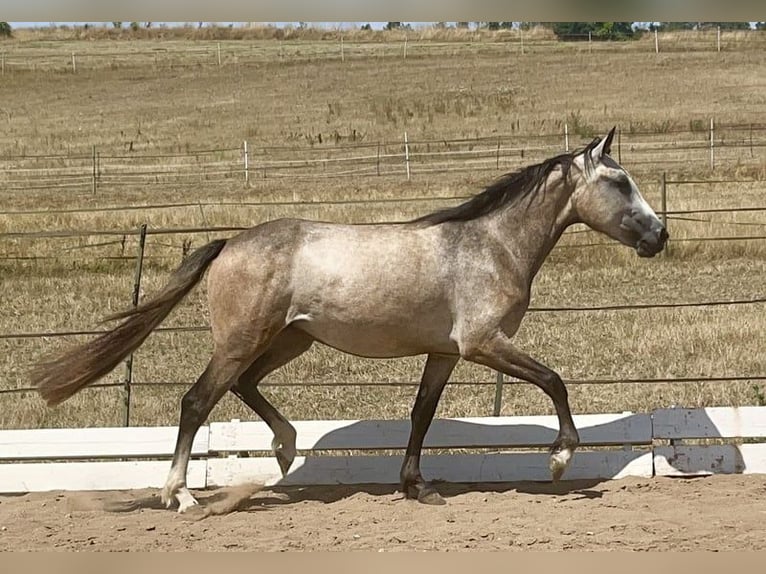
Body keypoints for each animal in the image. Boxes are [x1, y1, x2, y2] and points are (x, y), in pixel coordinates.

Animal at [31, 129, 664, 512]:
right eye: (619, 182)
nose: (659, 236)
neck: (489, 245)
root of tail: (231, 243)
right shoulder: (483, 342)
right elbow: (555, 381)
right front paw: (559, 459)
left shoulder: (444, 352)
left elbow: (421, 414)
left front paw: (417, 487)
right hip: (244, 340)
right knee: (196, 400)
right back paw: (182, 496)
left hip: (289, 341)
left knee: (242, 387)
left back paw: (285, 450)